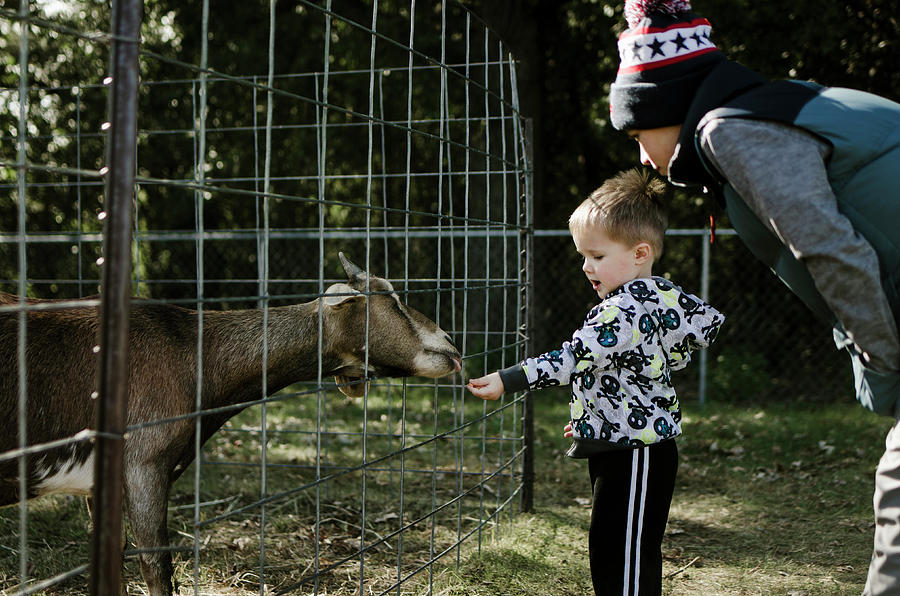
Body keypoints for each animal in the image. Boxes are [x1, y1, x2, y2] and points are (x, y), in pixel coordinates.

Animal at [0, 254, 464, 596]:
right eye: (393, 301)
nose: (452, 347)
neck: (193, 353)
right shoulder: (144, 465)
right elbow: (157, 565)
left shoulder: (103, 483)